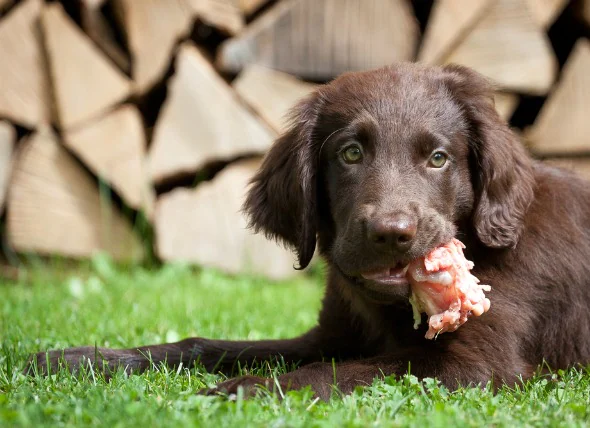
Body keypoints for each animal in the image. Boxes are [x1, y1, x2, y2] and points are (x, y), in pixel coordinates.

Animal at [26, 63, 590, 402]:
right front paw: (82, 359)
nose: (391, 233)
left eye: (437, 158)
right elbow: (208, 344)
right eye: (351, 153)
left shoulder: (479, 364)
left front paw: (239, 389)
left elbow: (344, 371)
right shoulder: (327, 336)